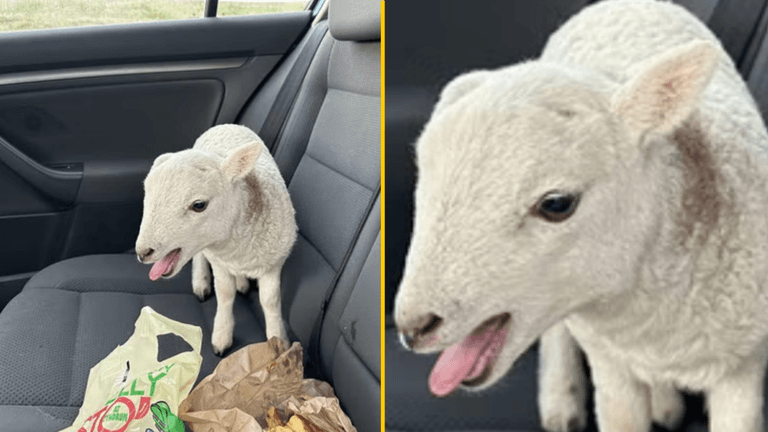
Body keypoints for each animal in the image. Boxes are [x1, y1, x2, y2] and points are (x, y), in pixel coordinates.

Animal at [135, 124, 297, 355]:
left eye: (199, 205)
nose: (143, 252)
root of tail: (227, 125)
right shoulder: (219, 261)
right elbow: (225, 293)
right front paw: (222, 336)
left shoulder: (274, 262)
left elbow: (270, 301)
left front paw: (279, 341)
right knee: (200, 256)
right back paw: (201, 281)